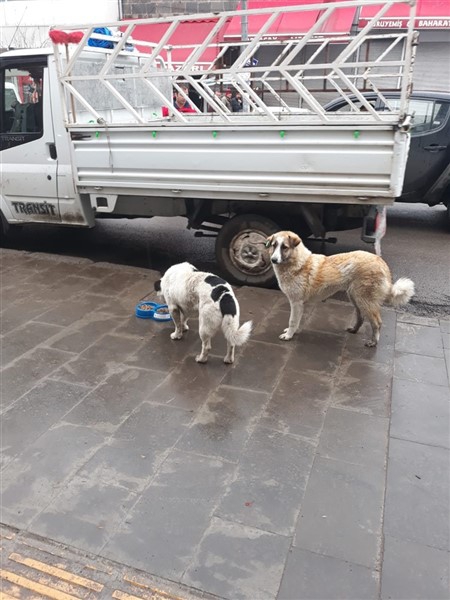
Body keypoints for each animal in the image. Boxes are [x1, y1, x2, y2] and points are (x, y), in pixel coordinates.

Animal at [266, 231, 415, 347]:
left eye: (284, 247)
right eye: (274, 246)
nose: (273, 260)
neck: (298, 263)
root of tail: (381, 262)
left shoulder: (296, 302)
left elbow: (292, 320)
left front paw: (289, 335)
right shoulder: (299, 304)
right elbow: (296, 321)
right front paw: (292, 332)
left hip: (365, 300)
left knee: (377, 322)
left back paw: (373, 342)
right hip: (355, 298)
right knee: (361, 318)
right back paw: (354, 330)